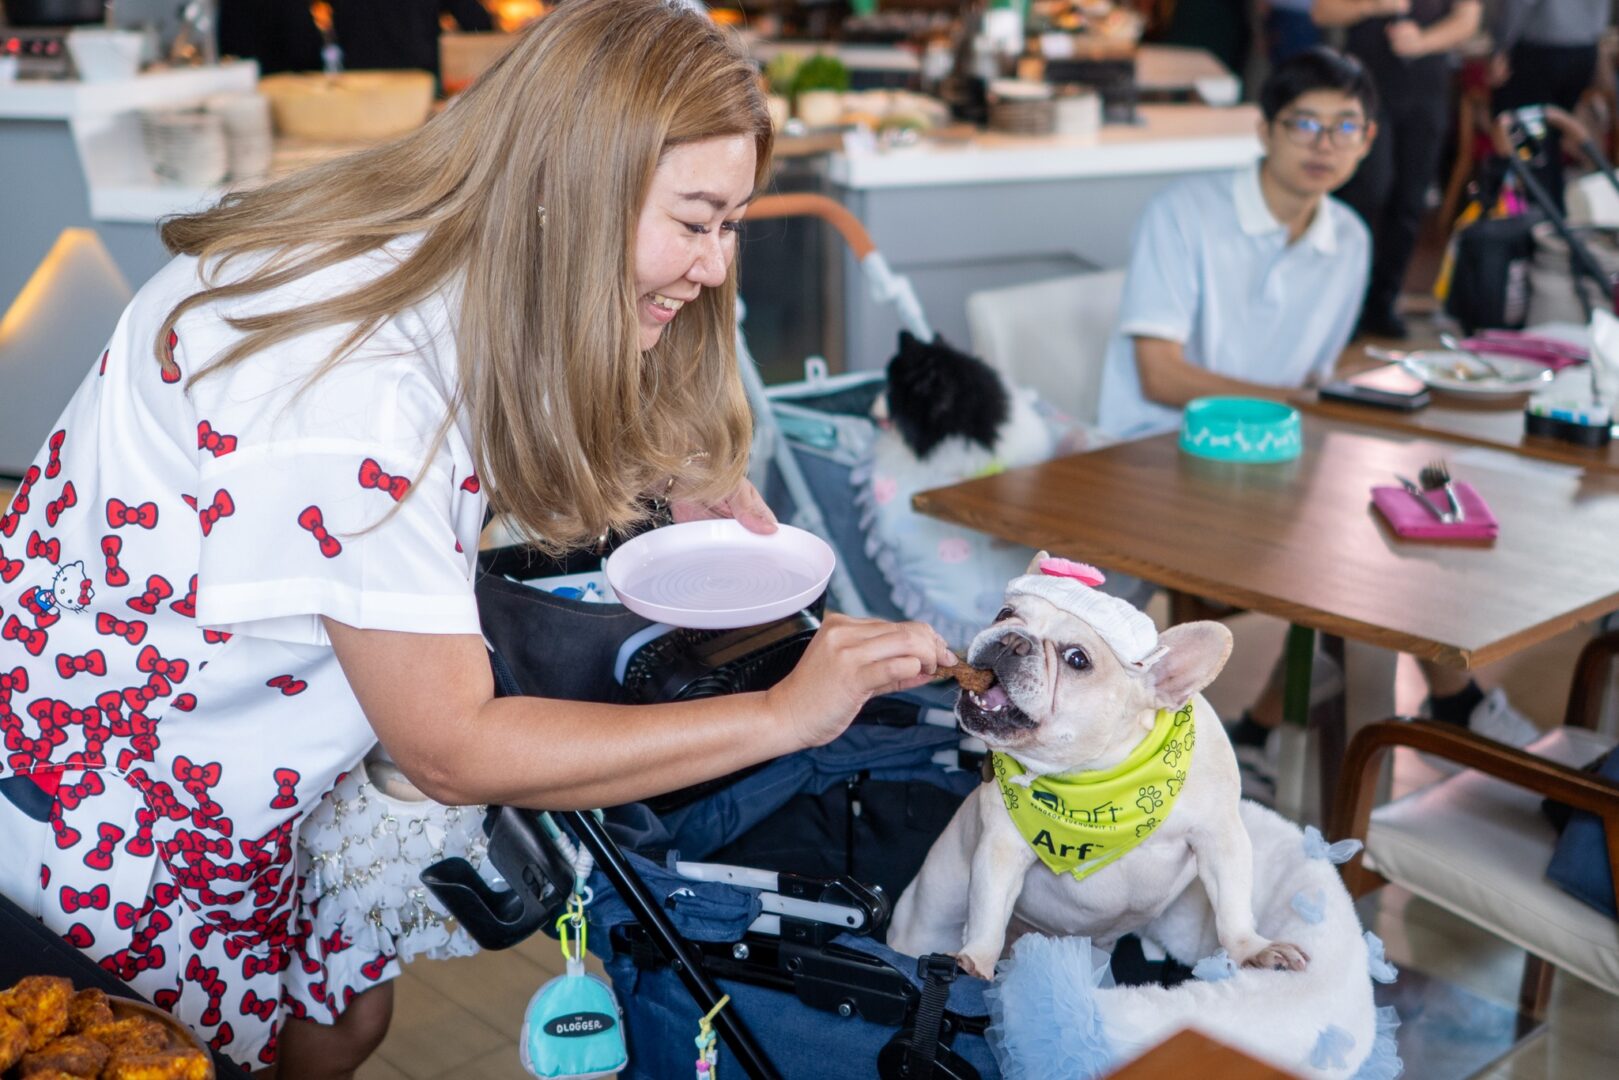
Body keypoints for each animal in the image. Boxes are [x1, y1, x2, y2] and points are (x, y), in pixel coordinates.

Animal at [888, 554, 1308, 980]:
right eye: (1004, 614)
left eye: (1077, 659)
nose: (1012, 640)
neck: (1099, 776)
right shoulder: (1000, 847)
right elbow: (988, 912)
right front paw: (974, 962)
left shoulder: (1220, 836)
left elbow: (1232, 904)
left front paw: (1253, 949)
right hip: (928, 913)